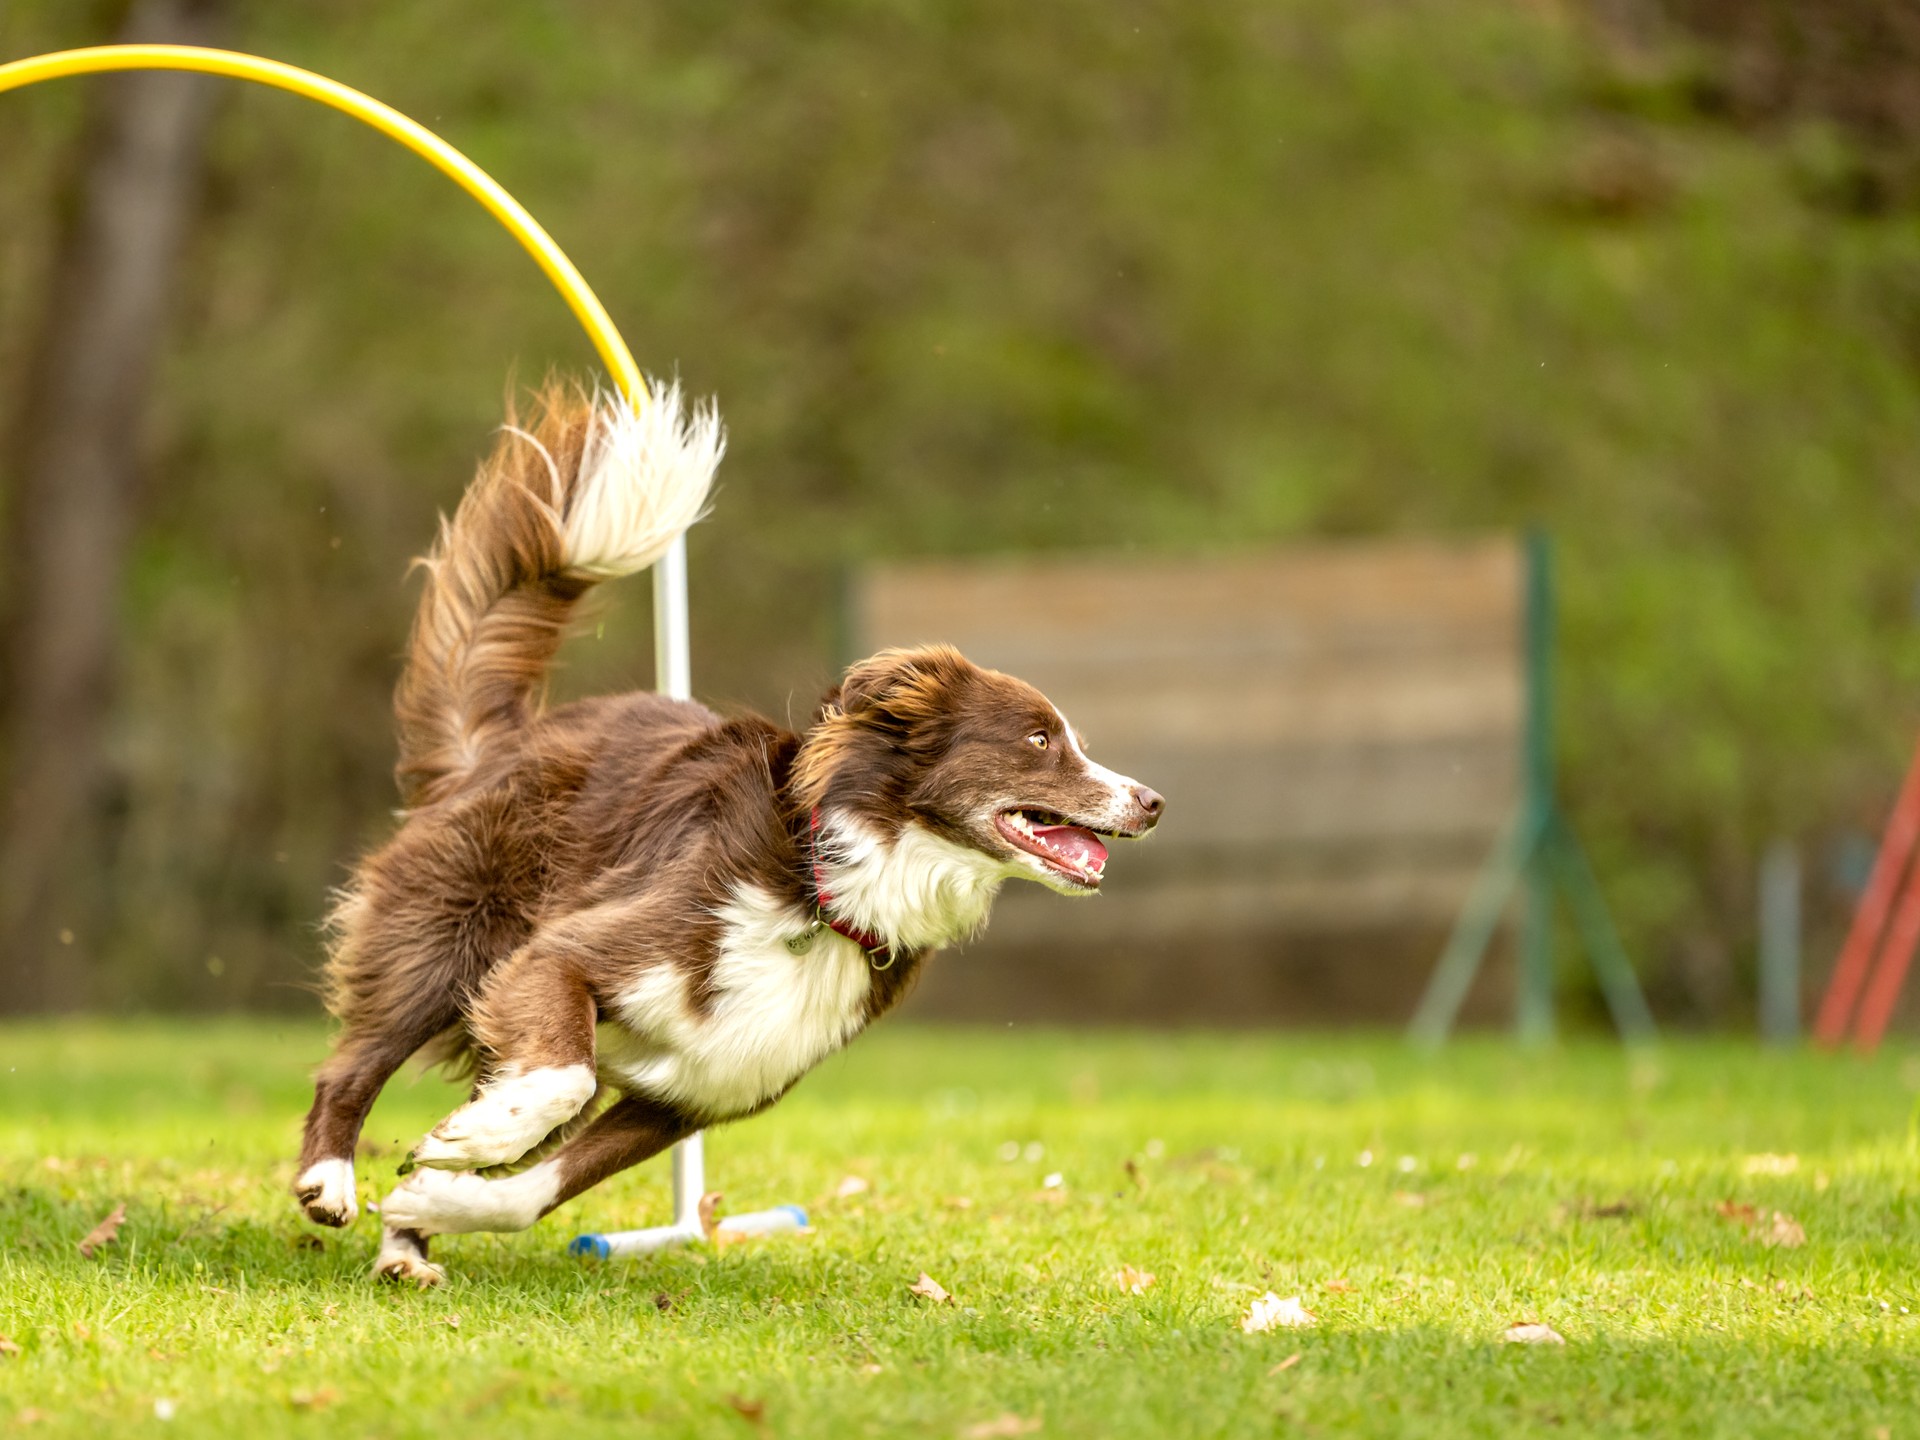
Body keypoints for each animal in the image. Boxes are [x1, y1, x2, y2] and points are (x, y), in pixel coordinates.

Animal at [291, 384, 1159, 1282]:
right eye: (1039, 739)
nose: (1152, 801)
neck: (832, 894)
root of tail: (503, 740)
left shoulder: (695, 1091)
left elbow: (530, 1189)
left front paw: (433, 1195)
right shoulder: (566, 954)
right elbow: (562, 1078)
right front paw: (467, 1146)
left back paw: (406, 1244)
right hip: (449, 944)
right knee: (352, 1065)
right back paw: (332, 1179)